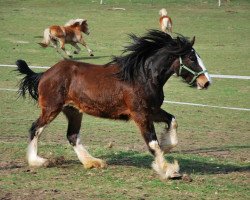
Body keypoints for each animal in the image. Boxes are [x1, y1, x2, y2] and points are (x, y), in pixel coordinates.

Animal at [16, 30, 211, 180]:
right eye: (191, 58)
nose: (206, 82)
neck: (142, 77)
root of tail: (45, 74)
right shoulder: (140, 114)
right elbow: (153, 143)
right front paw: (168, 170)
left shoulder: (153, 111)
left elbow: (172, 121)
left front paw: (167, 145)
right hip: (51, 109)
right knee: (35, 128)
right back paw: (38, 161)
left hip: (73, 111)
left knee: (72, 135)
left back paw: (93, 162)